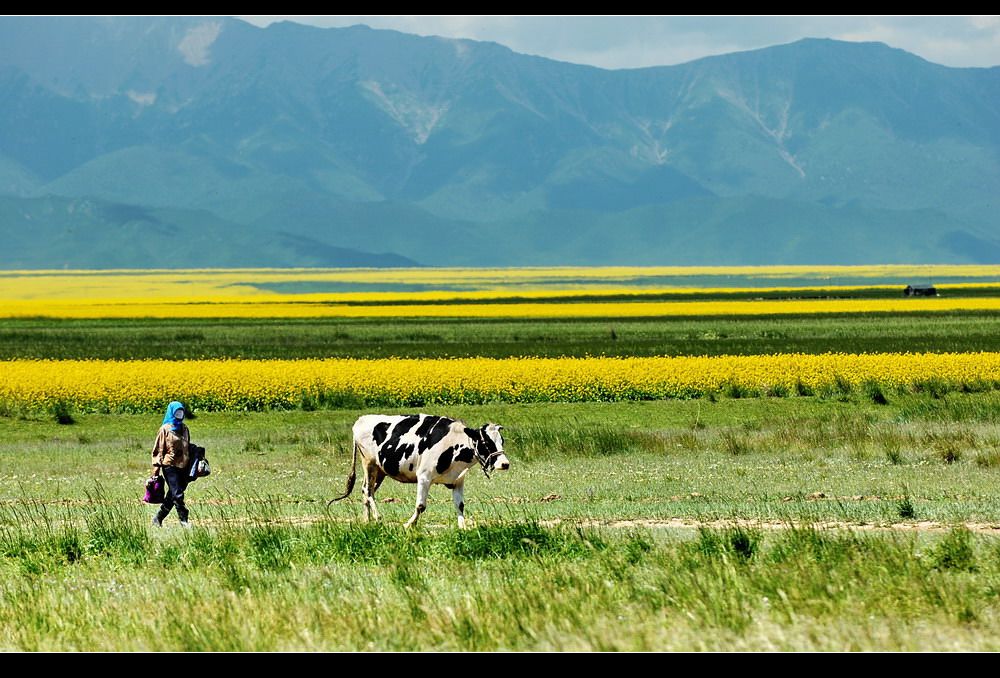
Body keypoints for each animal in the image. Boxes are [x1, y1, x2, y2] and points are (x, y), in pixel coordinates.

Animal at [332, 414, 512, 532]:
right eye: (486, 442)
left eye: (501, 441)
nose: (505, 464)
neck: (454, 443)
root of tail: (361, 419)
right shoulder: (424, 477)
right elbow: (421, 506)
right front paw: (408, 524)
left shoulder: (458, 480)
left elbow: (460, 505)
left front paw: (463, 526)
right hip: (368, 463)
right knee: (367, 491)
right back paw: (377, 517)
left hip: (380, 470)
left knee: (367, 492)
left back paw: (366, 520)